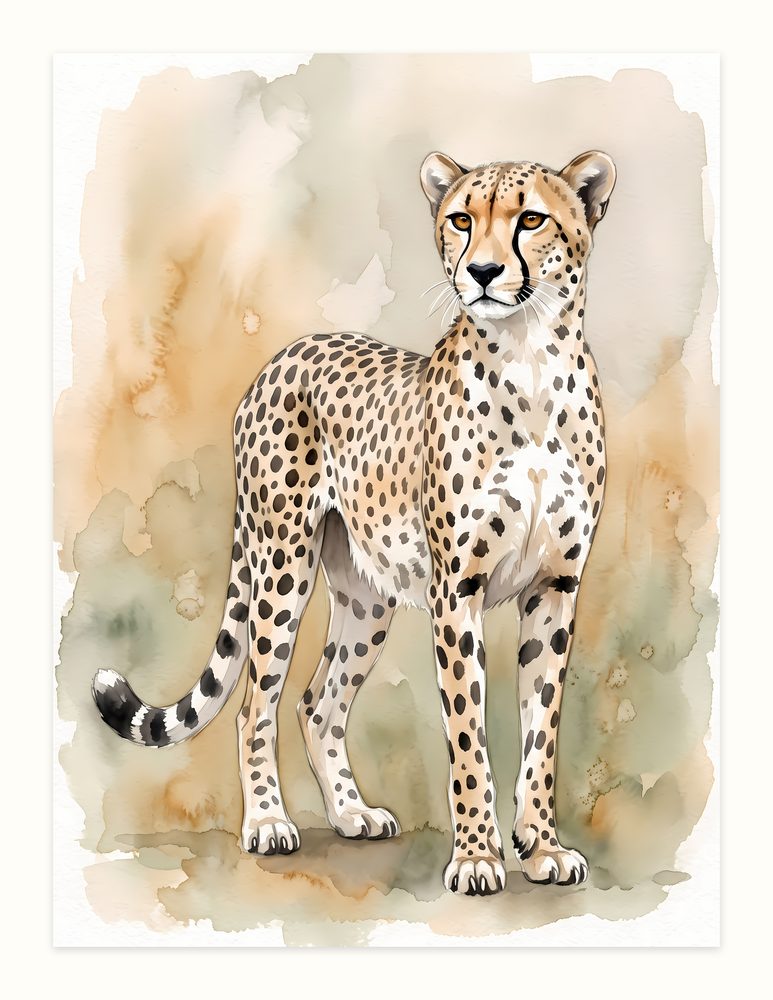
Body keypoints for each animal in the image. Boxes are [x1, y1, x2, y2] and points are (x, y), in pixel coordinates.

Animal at [93, 148, 616, 896]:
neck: (530, 363)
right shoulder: (456, 592)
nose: (484, 273)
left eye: (531, 220)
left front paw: (541, 846)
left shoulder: (555, 587)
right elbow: (468, 735)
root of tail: (286, 355)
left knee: (319, 703)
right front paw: (477, 857)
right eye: (462, 219)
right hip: (282, 565)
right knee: (255, 704)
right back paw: (267, 823)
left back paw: (349, 814)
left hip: (367, 594)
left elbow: (540, 731)